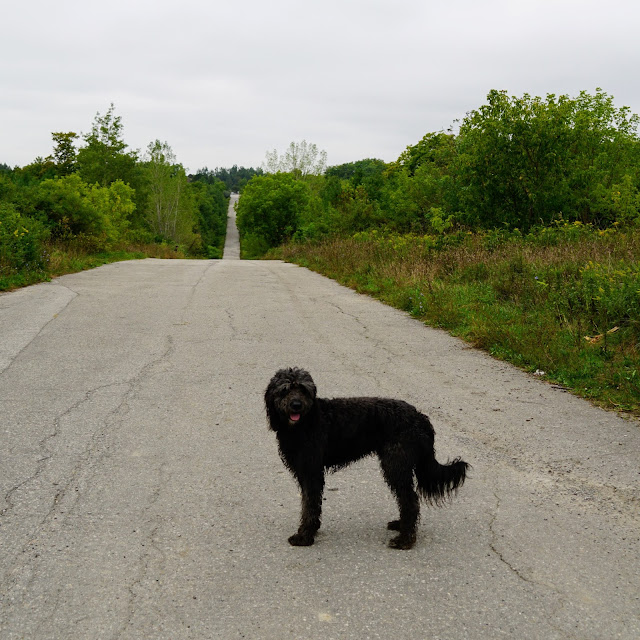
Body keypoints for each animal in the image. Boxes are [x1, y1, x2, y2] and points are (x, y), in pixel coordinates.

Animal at [262, 368, 468, 548]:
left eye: (303, 389)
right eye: (285, 390)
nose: (296, 405)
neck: (307, 422)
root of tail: (420, 417)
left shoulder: (311, 472)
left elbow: (309, 505)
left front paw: (304, 536)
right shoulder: (305, 472)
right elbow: (309, 504)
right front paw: (311, 530)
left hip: (396, 465)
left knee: (411, 501)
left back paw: (404, 540)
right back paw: (401, 526)